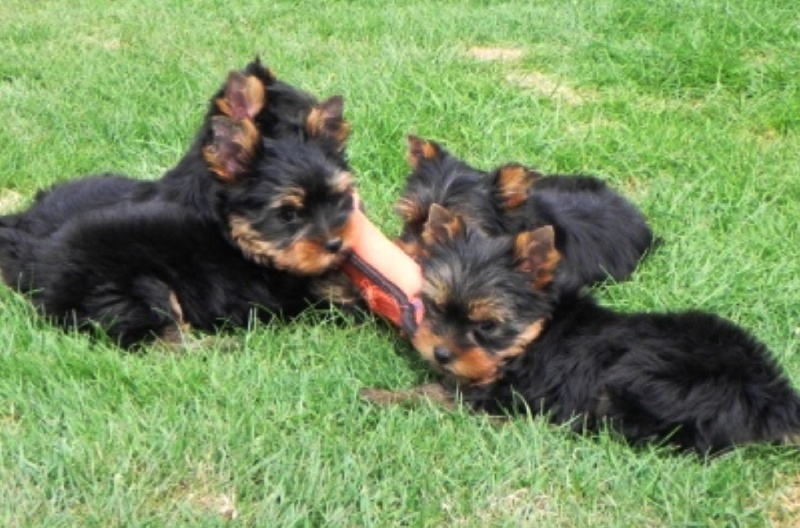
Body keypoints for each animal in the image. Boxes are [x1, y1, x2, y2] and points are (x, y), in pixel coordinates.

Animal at [364, 206, 800, 454]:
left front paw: (386, 396)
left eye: (487, 326)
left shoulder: (513, 391)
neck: (533, 335)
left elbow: (441, 393)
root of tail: (773, 395)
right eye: (437, 307)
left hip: (640, 380)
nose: (441, 353)